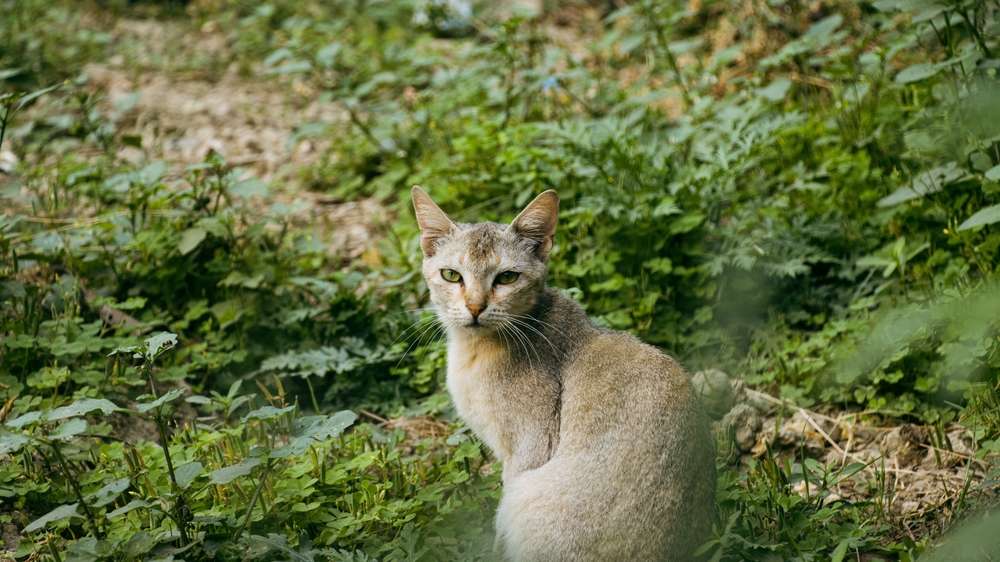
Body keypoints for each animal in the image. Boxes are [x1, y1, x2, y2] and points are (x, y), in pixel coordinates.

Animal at [410, 187, 716, 560]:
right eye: (451, 275)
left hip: (525, 495)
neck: (475, 350)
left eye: (507, 277)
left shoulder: (529, 448)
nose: (475, 307)